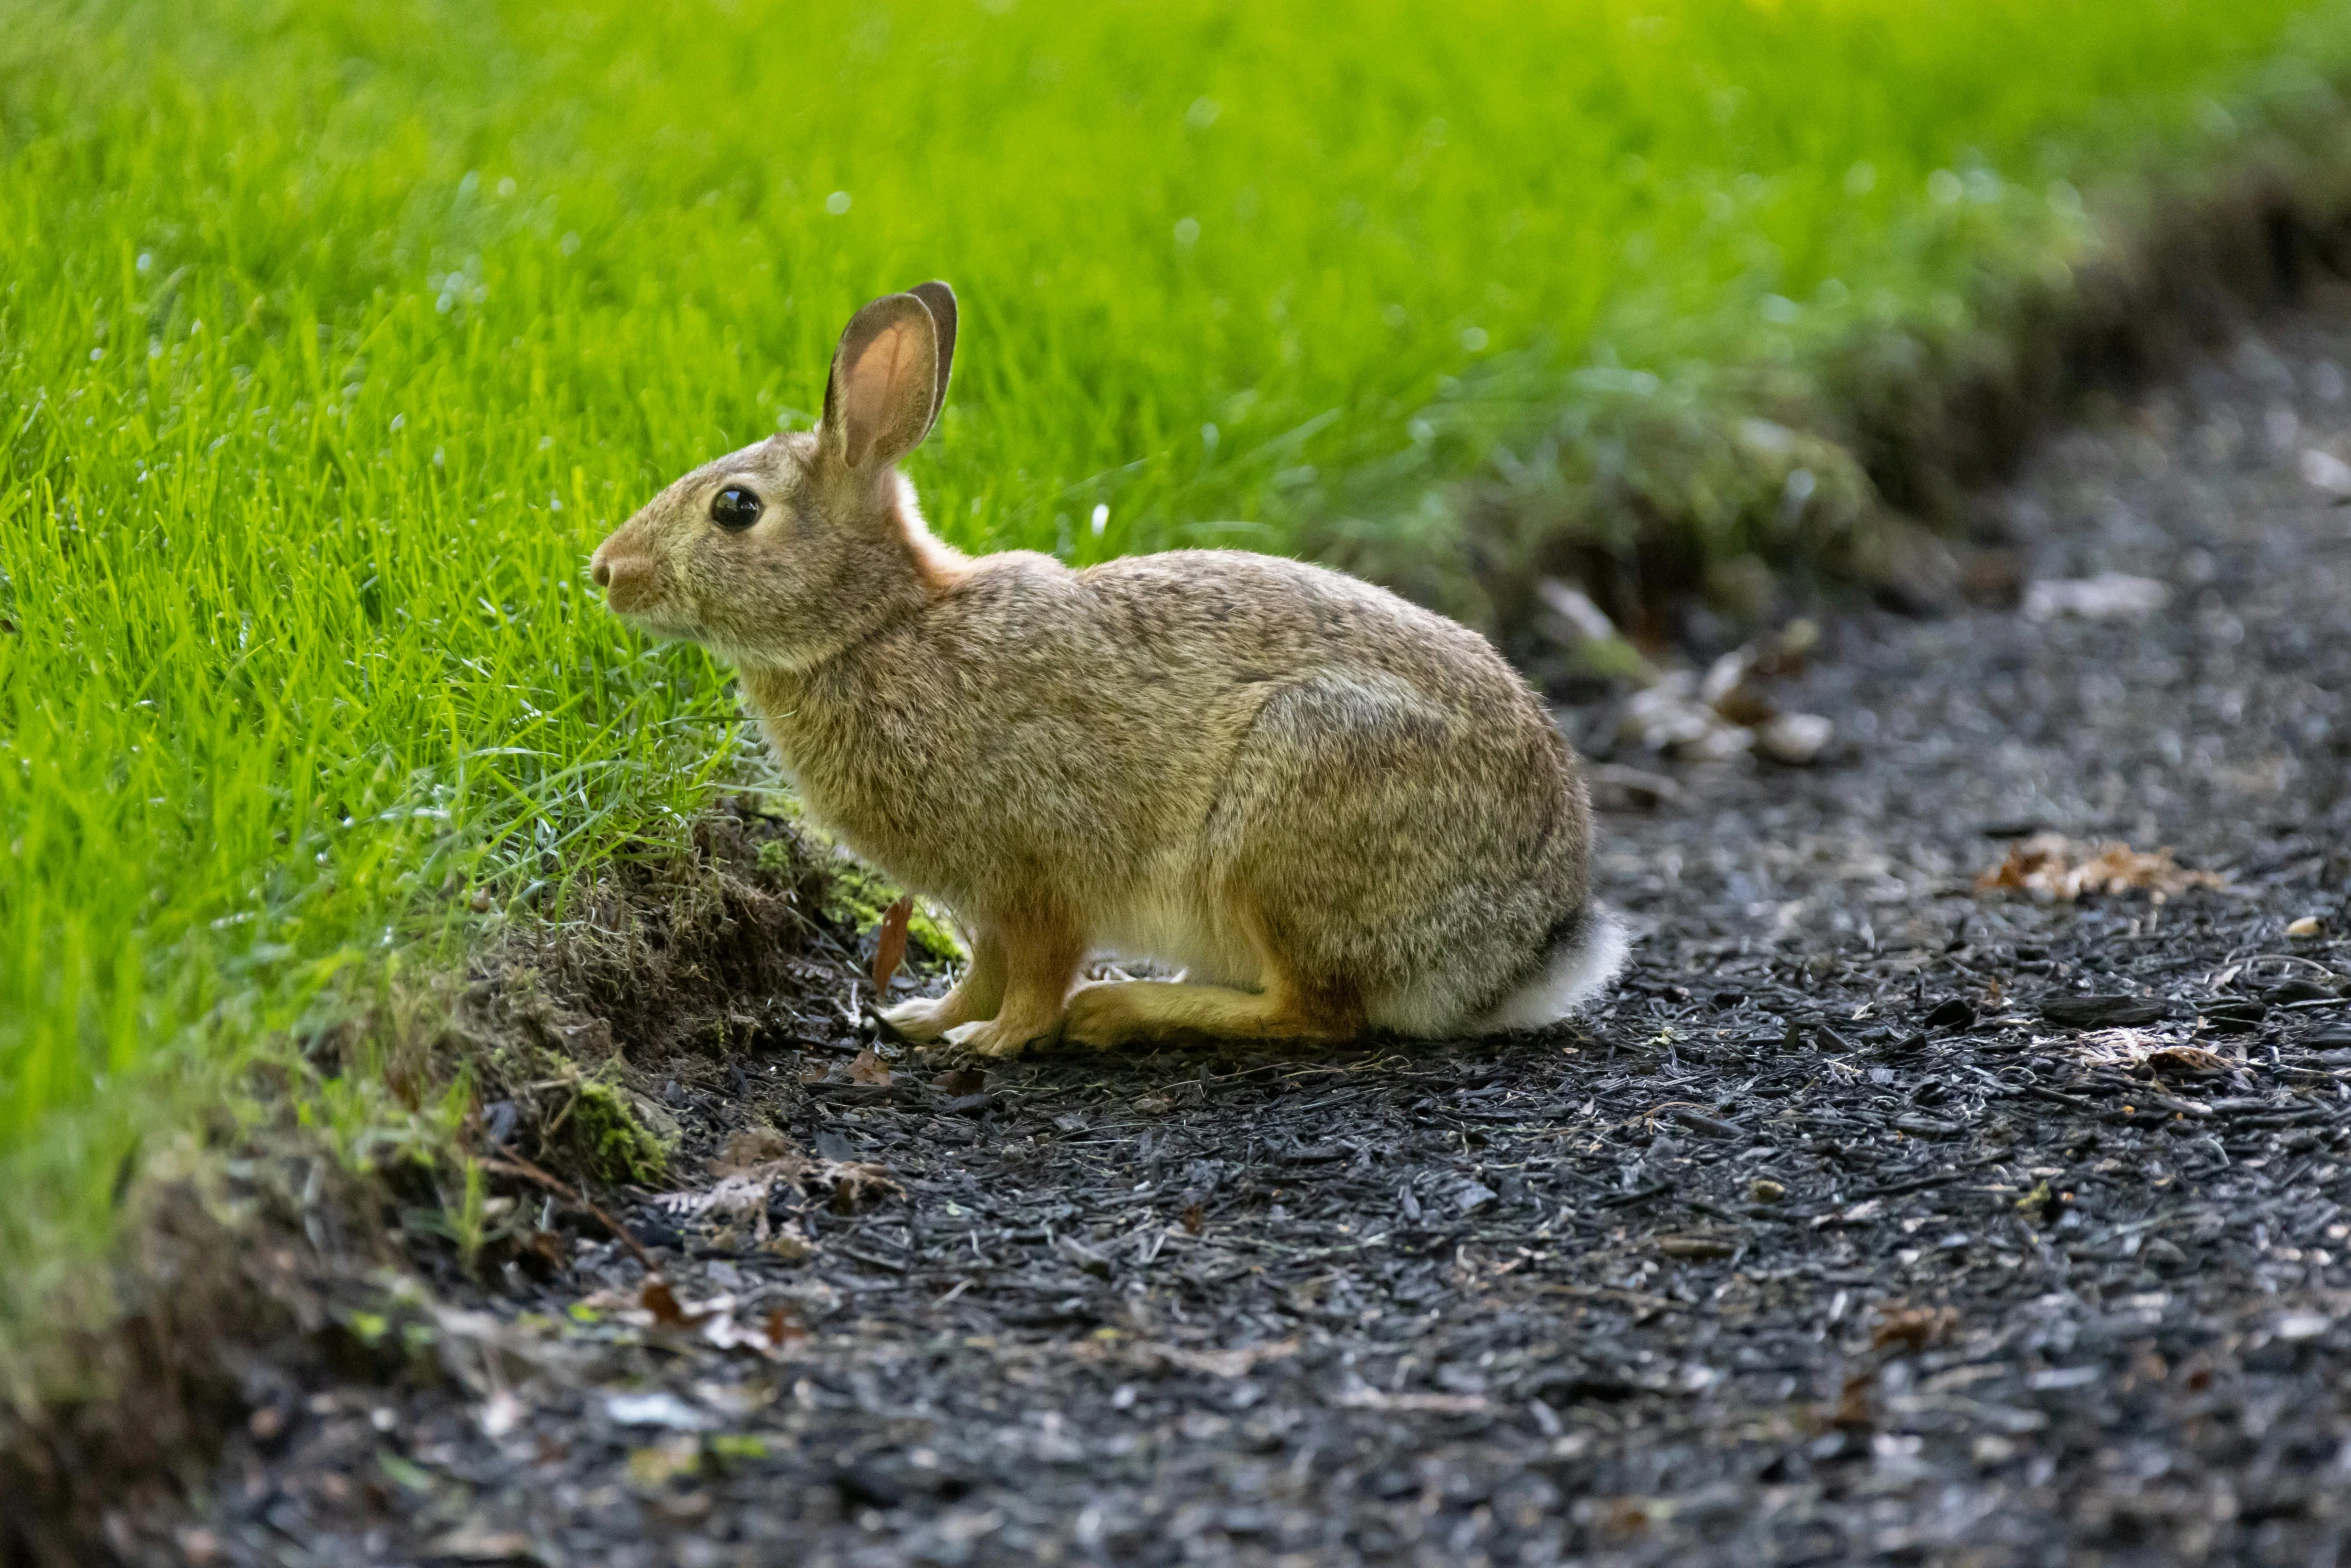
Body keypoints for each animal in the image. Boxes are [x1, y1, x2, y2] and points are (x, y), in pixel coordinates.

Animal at [587, 287, 1617, 1062]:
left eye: (734, 509)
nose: (605, 572)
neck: (875, 627)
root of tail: (1522, 946)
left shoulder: (1038, 868)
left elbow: (1038, 970)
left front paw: (995, 1042)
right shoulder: (983, 900)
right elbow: (984, 967)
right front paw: (925, 1019)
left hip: (1289, 803)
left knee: (1316, 1013)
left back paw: (1121, 1013)